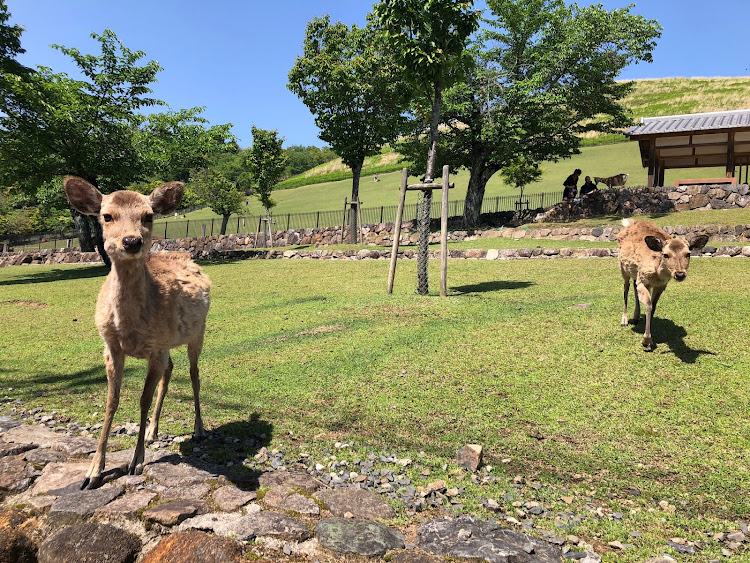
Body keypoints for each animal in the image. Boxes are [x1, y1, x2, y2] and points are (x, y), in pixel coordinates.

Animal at [64, 177, 212, 490]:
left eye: (148, 216)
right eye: (106, 216)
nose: (132, 241)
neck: (129, 329)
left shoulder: (156, 347)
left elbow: (143, 399)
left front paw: (137, 461)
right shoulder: (111, 346)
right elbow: (111, 401)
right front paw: (93, 472)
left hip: (198, 331)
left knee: (193, 374)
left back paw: (199, 428)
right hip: (169, 344)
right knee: (170, 370)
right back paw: (154, 431)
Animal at [616, 219, 712, 348]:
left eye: (688, 254)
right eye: (665, 254)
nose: (680, 274)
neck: (657, 274)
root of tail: (629, 222)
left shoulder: (661, 285)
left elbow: (653, 307)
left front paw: (650, 339)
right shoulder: (643, 279)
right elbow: (648, 305)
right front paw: (646, 341)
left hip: (635, 274)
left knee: (635, 288)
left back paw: (636, 317)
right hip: (622, 268)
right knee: (626, 288)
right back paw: (624, 321)